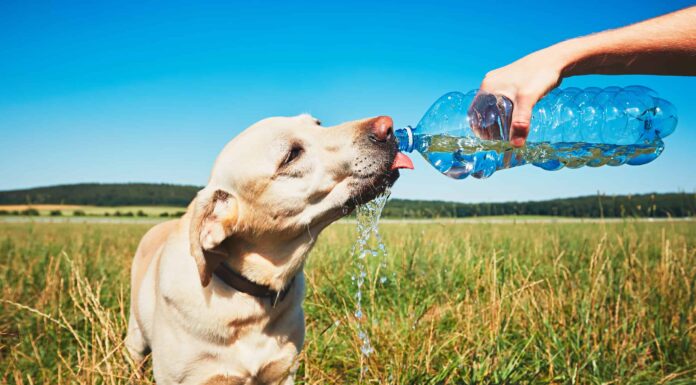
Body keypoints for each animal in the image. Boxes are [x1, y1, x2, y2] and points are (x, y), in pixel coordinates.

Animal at [125, 114, 414, 384]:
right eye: (291, 155)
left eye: (318, 124)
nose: (387, 126)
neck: (251, 301)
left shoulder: (283, 371)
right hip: (135, 338)